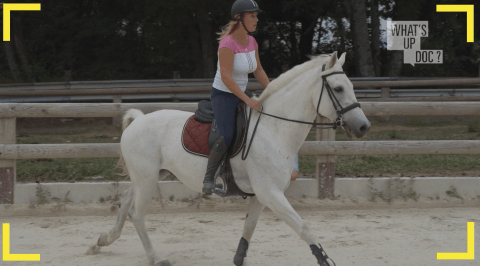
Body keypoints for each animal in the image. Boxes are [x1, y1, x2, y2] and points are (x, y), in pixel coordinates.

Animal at [89, 52, 372, 266]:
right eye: (338, 88)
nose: (363, 127)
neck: (273, 129)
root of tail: (138, 120)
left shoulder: (262, 195)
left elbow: (248, 229)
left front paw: (238, 259)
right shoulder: (271, 193)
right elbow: (304, 228)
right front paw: (325, 259)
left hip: (149, 176)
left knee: (126, 201)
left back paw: (103, 240)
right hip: (147, 179)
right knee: (136, 214)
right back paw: (155, 258)